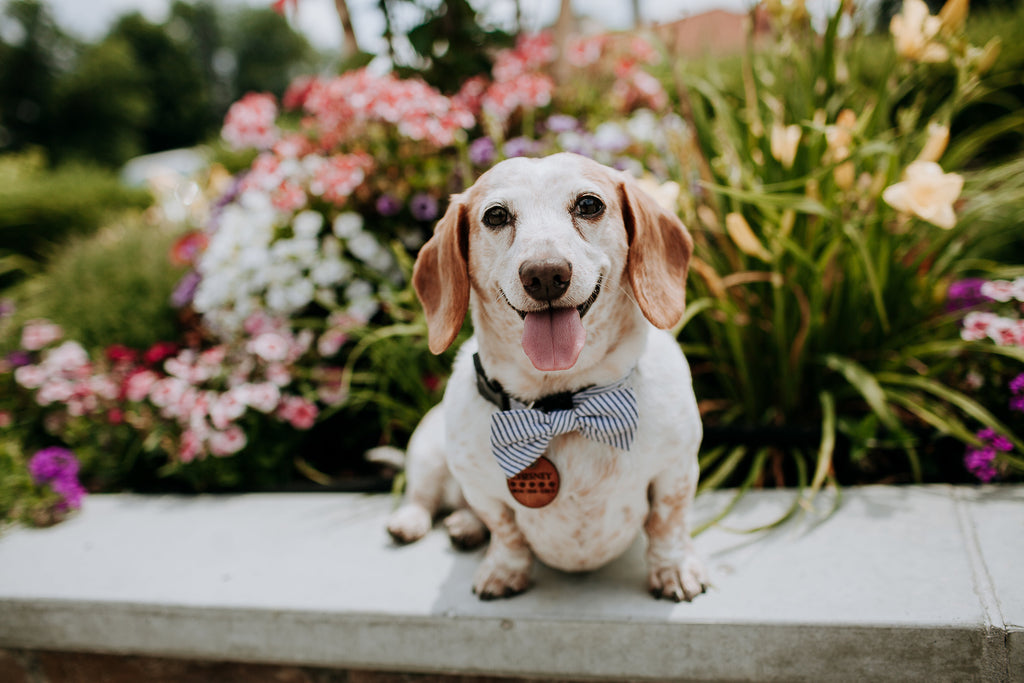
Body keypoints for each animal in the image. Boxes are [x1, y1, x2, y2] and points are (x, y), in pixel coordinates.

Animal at [387, 152, 708, 602]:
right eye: (496, 215)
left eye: (589, 204)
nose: (543, 275)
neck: (562, 405)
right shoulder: (482, 489)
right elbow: (505, 531)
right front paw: (504, 571)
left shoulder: (675, 472)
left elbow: (668, 525)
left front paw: (674, 570)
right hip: (428, 449)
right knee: (422, 495)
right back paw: (417, 521)